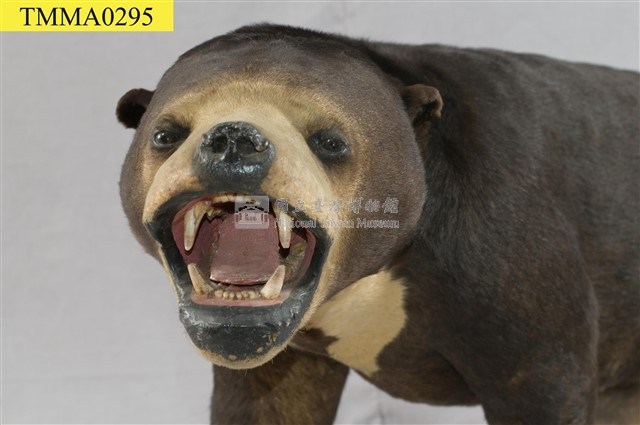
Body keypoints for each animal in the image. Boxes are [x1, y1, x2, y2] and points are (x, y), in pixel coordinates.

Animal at [117, 24, 639, 424]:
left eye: (330, 141)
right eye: (165, 135)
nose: (233, 141)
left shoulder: (517, 275)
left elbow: (546, 377)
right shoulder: (275, 354)